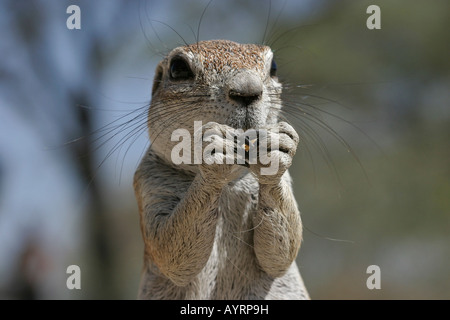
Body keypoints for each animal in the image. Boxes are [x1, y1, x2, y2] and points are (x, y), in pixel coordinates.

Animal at [134, 40, 310, 300]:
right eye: (178, 68)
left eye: (274, 67)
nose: (247, 90)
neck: (228, 185)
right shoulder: (149, 181)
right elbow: (168, 252)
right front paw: (216, 150)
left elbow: (282, 253)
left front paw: (278, 145)